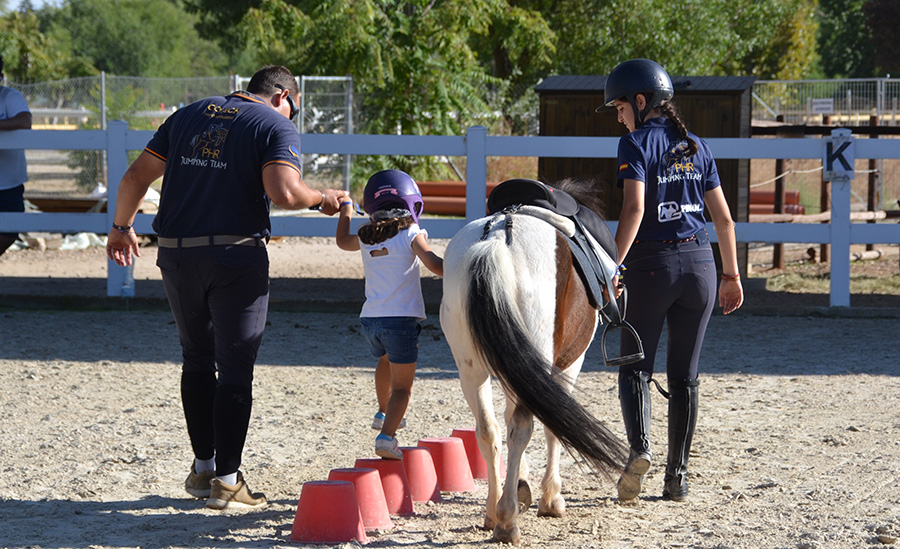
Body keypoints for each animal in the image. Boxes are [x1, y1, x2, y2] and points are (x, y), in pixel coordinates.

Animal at [440, 179, 628, 544]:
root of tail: (497, 240)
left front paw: (521, 486)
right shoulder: (566, 365)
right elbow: (554, 423)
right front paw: (550, 498)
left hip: (470, 367)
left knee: (489, 429)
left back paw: (492, 510)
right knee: (521, 428)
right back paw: (507, 521)